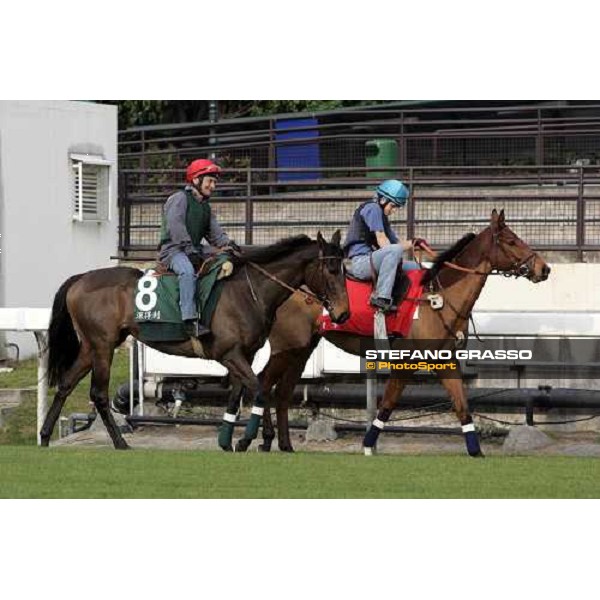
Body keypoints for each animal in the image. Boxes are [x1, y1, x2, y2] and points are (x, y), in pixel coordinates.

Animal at [44, 232, 350, 448]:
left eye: (345, 270)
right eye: (332, 270)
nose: (343, 313)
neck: (249, 291)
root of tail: (81, 278)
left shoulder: (244, 355)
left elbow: (238, 394)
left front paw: (228, 440)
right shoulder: (230, 354)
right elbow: (260, 389)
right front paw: (252, 438)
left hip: (91, 346)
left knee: (66, 384)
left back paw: (45, 436)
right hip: (103, 346)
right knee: (98, 393)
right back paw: (120, 442)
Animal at [258, 209, 548, 458]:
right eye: (511, 240)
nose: (544, 268)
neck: (437, 297)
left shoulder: (446, 361)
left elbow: (462, 406)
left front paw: (476, 451)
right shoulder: (406, 362)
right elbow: (387, 403)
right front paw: (367, 446)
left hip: (302, 349)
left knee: (282, 392)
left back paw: (283, 444)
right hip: (286, 347)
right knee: (264, 381)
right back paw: (262, 438)